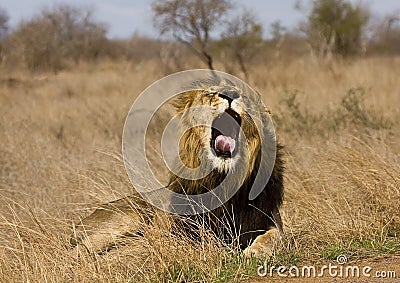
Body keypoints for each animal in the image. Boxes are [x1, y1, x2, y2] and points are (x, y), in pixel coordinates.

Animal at [71, 76, 284, 258]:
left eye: (245, 96)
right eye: (210, 93)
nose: (230, 94)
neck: (221, 178)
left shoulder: (270, 220)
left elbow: (275, 236)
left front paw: (255, 251)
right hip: (129, 217)